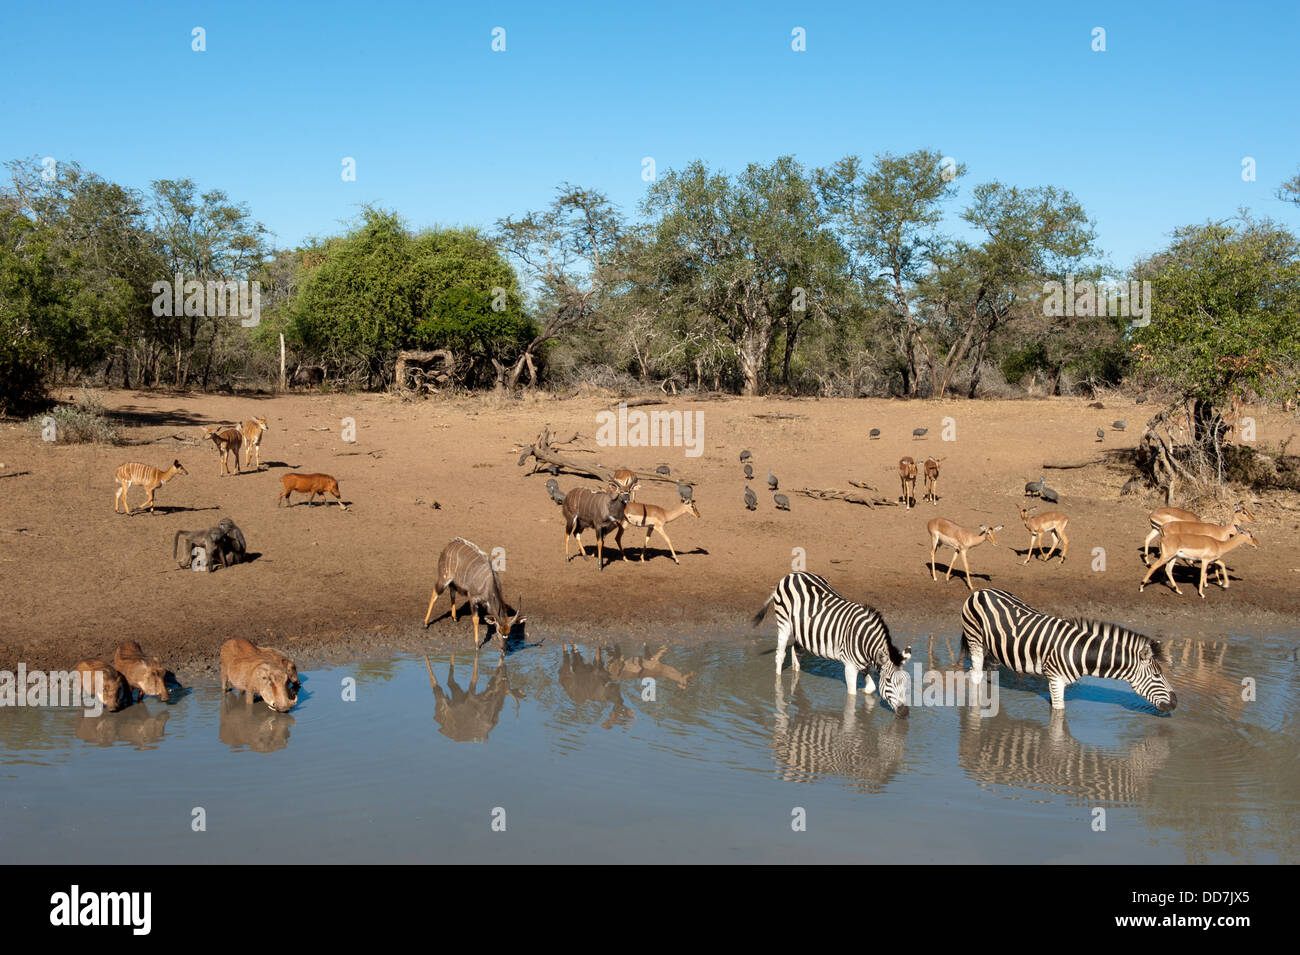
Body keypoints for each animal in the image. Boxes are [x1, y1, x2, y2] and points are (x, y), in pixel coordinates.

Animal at [754, 571, 915, 712]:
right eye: (888, 681)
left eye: (906, 682)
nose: (904, 713)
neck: (864, 641)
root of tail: (792, 574)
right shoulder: (849, 666)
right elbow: (852, 698)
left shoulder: (863, 662)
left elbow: (871, 688)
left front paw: (865, 693)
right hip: (784, 623)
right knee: (780, 655)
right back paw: (778, 686)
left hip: (803, 630)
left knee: (796, 650)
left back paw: (796, 675)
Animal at [956, 587, 1180, 712]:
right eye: (1157, 675)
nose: (1176, 703)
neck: (1079, 651)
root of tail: (981, 591)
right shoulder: (1055, 679)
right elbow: (1059, 715)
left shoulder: (1058, 682)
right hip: (975, 639)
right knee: (975, 674)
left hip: (995, 649)